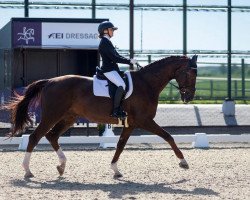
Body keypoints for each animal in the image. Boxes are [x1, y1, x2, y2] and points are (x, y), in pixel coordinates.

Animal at [4, 55, 197, 178]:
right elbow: (168, 136)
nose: (189, 97)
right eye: (189, 73)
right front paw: (184, 162)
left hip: (68, 117)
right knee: (35, 137)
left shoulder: (131, 124)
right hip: (52, 115)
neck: (147, 83)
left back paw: (61, 166)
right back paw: (27, 171)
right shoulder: (144, 121)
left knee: (52, 136)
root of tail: (49, 81)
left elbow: (120, 145)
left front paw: (115, 170)